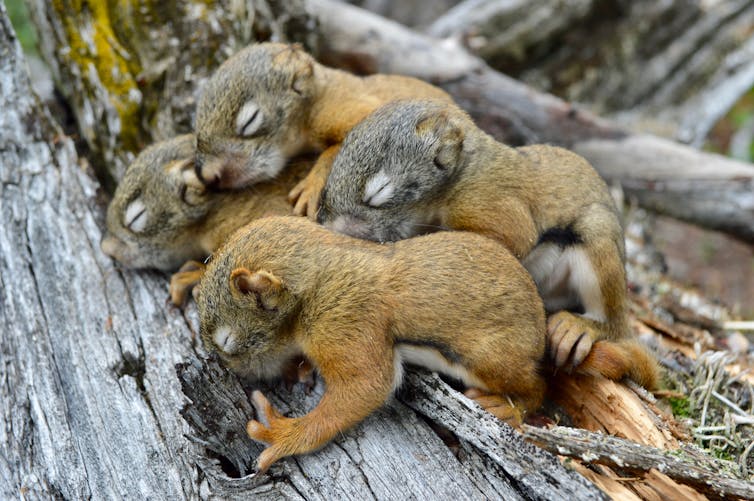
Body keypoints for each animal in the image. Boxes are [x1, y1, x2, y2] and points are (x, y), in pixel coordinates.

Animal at [318, 98, 656, 386]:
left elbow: (508, 239)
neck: (463, 174)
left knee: (610, 321)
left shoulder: (487, 203)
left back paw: (583, 327)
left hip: (598, 248)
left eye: (378, 193)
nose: (331, 227)